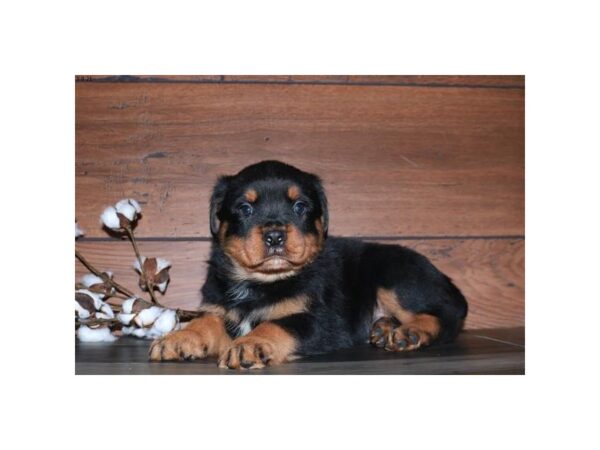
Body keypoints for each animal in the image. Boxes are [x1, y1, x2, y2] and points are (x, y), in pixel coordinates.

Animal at [150, 161, 468, 370]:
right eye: (245, 208)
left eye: (300, 206)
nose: (275, 235)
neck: (261, 282)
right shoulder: (221, 308)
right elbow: (205, 320)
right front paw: (178, 338)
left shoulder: (321, 321)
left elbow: (277, 324)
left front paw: (249, 345)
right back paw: (382, 328)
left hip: (394, 274)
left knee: (445, 314)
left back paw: (408, 333)